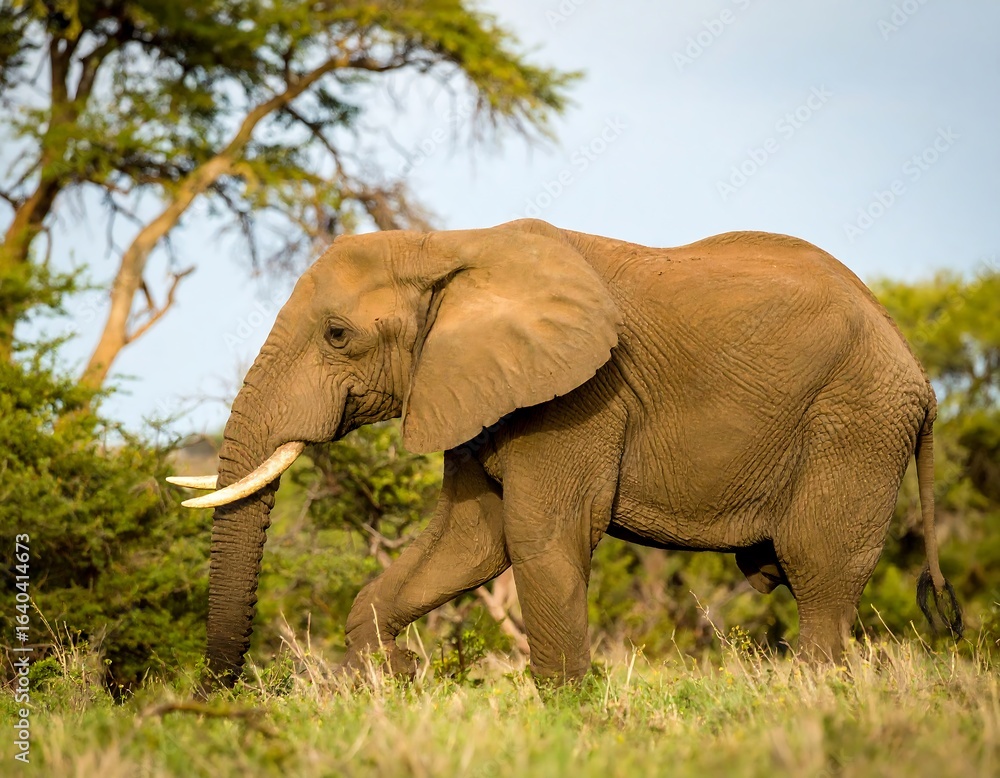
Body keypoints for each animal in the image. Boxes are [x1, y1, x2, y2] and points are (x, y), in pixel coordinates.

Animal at [169, 218, 962, 687]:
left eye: (337, 335)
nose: (219, 694)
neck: (448, 245)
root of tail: (919, 372)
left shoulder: (579, 397)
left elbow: (537, 537)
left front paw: (562, 708)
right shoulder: (478, 387)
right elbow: (470, 540)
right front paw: (391, 676)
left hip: (855, 423)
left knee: (819, 572)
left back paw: (803, 694)